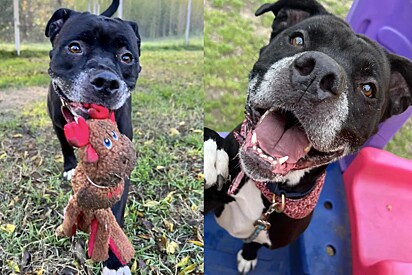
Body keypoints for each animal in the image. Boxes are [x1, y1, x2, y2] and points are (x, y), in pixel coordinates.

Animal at [44, 0, 141, 272]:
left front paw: (114, 264)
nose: (106, 81)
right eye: (75, 48)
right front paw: (70, 167)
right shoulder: (58, 123)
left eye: (126, 57)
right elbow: (65, 146)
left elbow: (113, 216)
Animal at [205, 0, 412, 274]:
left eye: (368, 89)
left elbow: (254, 243)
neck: (271, 192)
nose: (319, 72)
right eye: (297, 39)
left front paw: (248, 255)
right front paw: (211, 153)